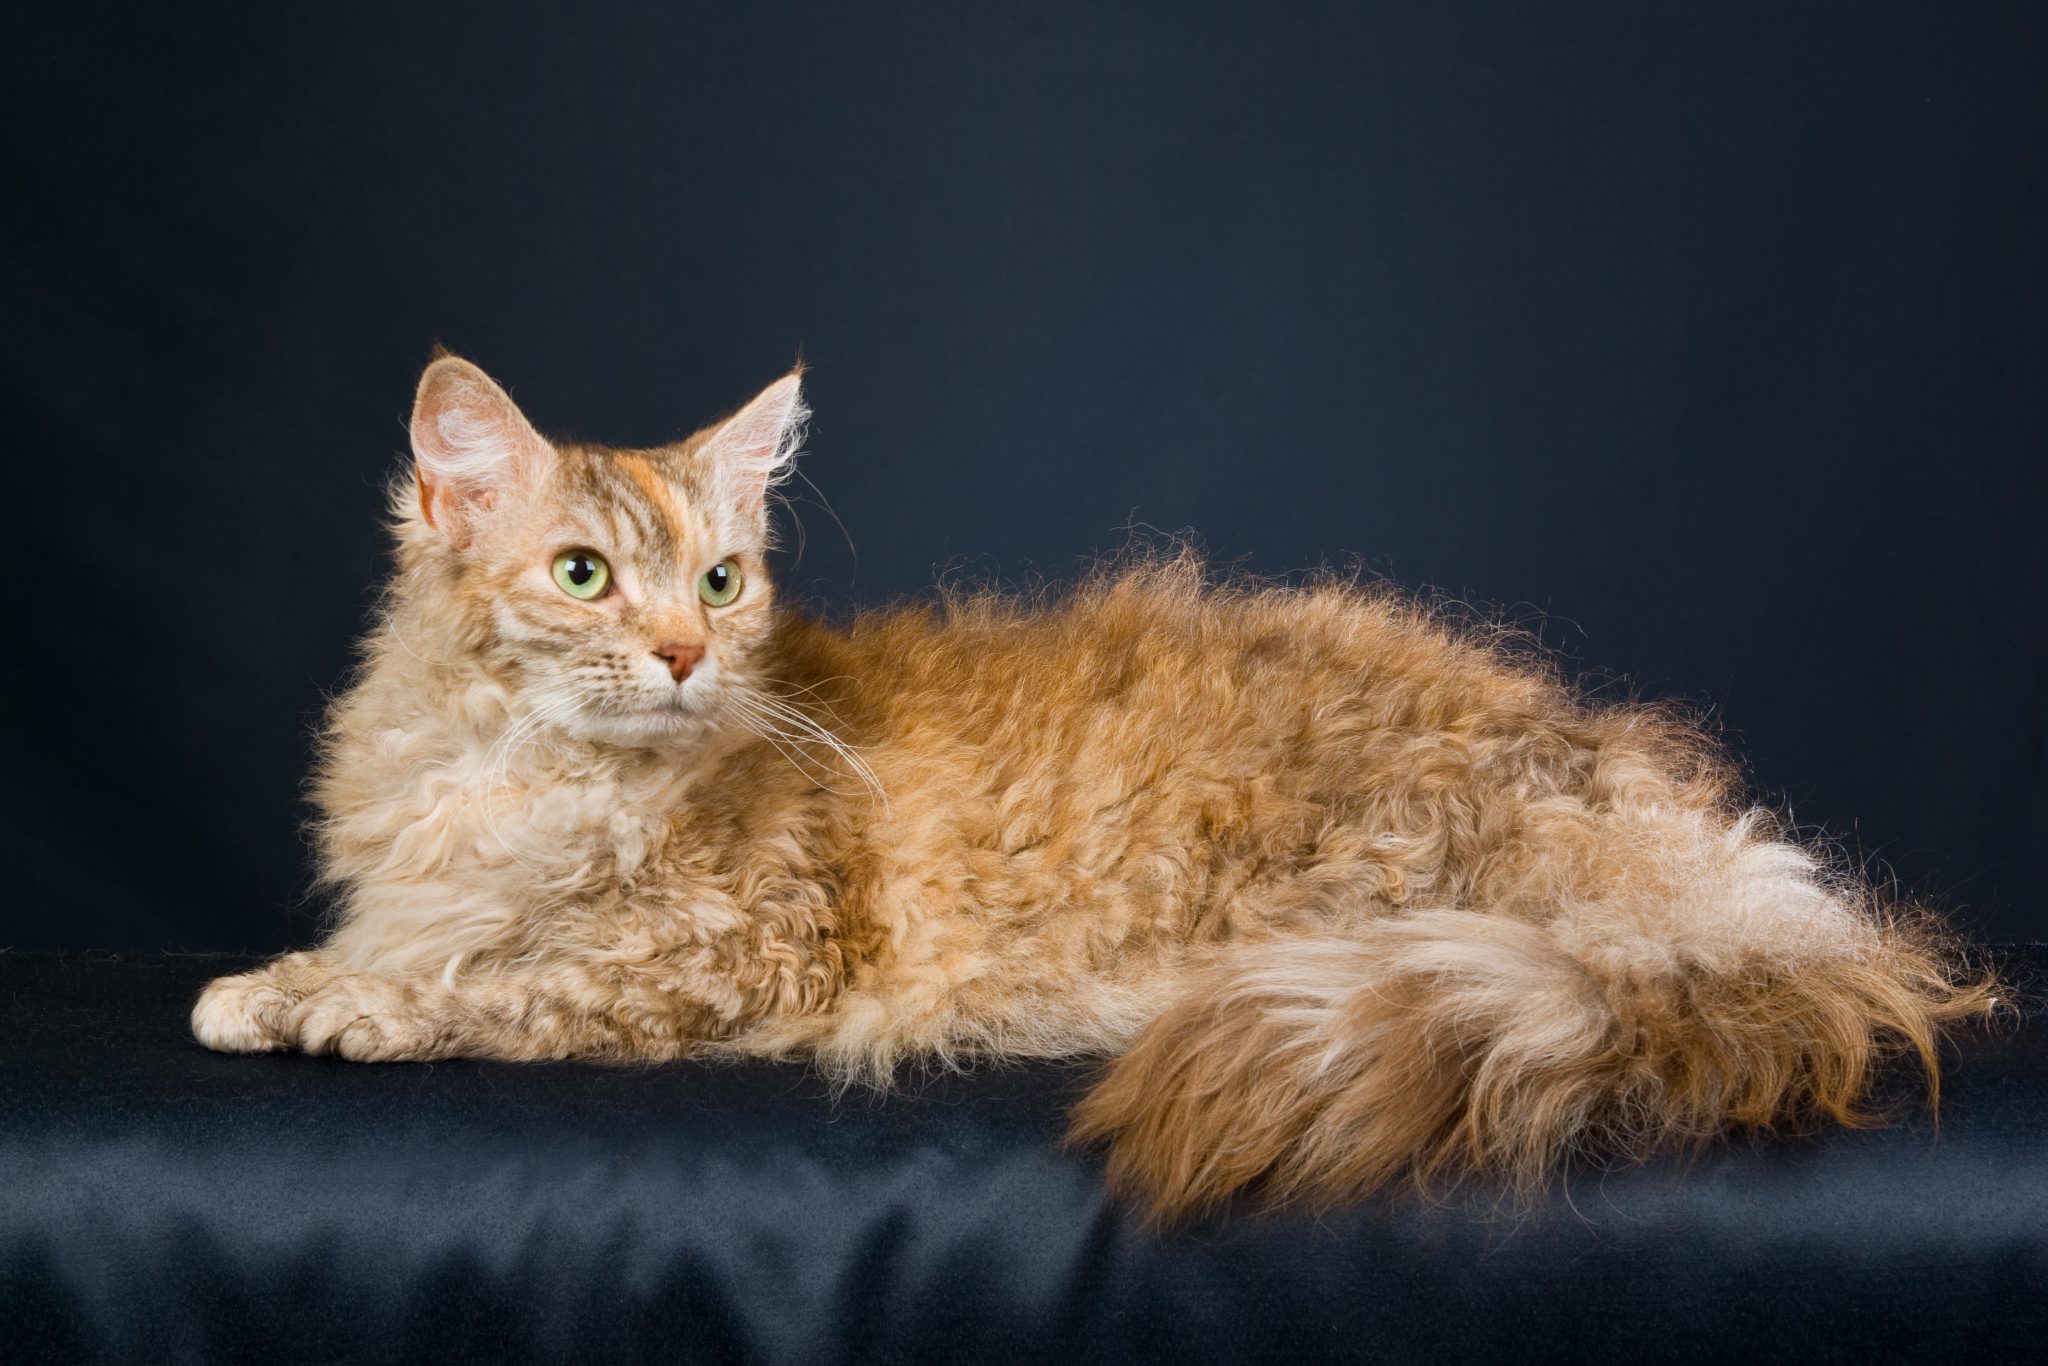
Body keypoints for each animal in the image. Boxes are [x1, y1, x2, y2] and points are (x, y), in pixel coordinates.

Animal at [195, 350, 1998, 1220]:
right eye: (582, 575)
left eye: (719, 580)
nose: (688, 659)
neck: (522, 771)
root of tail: (1675, 846)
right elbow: (408, 939)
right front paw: (289, 977)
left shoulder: (740, 950)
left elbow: (504, 983)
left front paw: (345, 1007)